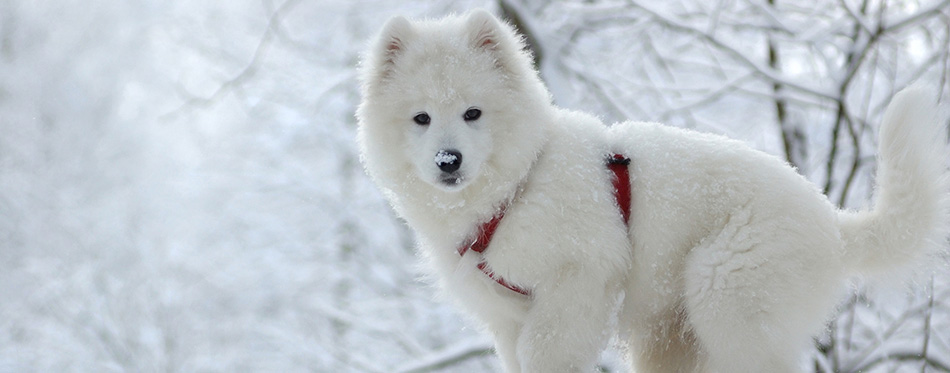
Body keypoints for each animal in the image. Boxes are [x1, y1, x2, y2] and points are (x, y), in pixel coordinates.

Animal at [356, 9, 950, 372]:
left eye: (473, 113)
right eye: (421, 118)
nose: (448, 161)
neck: (517, 187)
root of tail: (831, 220)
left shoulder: (580, 280)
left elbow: (547, 351)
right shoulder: (505, 315)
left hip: (728, 298)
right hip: (670, 336)